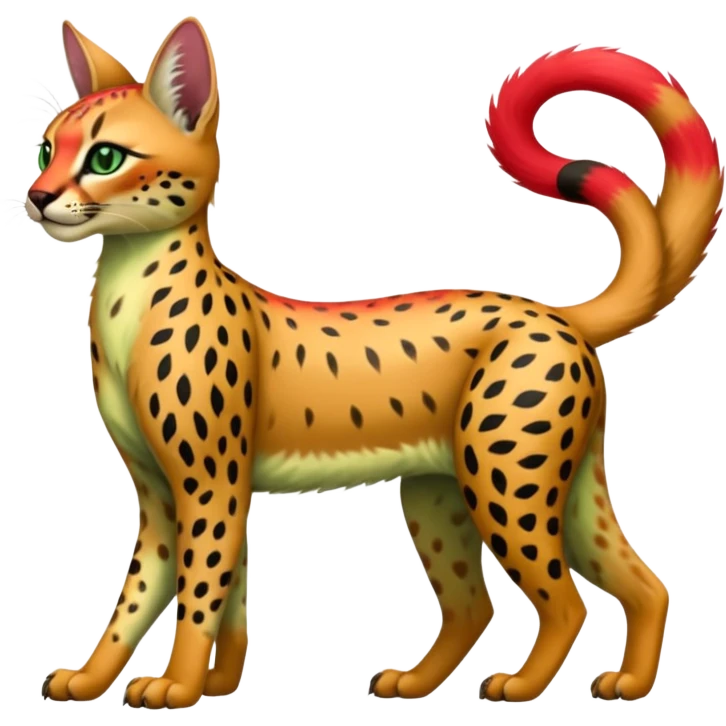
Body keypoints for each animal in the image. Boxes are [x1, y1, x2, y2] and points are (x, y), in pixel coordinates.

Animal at [31, 24, 722, 708]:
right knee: (591, 589)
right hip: (466, 490)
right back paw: (577, 682)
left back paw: (523, 684)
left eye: (105, 158)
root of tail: (556, 314)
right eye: (45, 152)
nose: (37, 198)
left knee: (565, 602)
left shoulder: (210, 484)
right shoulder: (170, 493)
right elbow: (165, 595)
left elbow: (198, 592)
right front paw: (136, 679)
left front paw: (178, 683)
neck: (130, 297)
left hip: (505, 482)